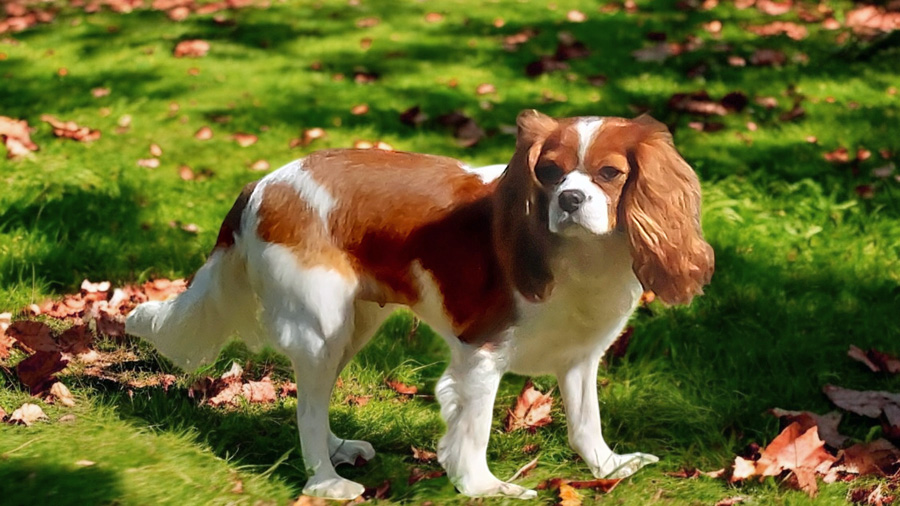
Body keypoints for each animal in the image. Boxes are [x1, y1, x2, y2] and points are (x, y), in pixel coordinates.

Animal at [128, 109, 716, 498]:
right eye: (548, 173)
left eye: (610, 174)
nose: (570, 199)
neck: (580, 254)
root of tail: (261, 183)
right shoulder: (481, 353)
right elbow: (474, 429)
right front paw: (484, 487)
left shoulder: (579, 356)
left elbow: (585, 421)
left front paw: (609, 467)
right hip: (320, 327)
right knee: (307, 407)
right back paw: (327, 481)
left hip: (354, 325)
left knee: (316, 401)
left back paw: (338, 448)